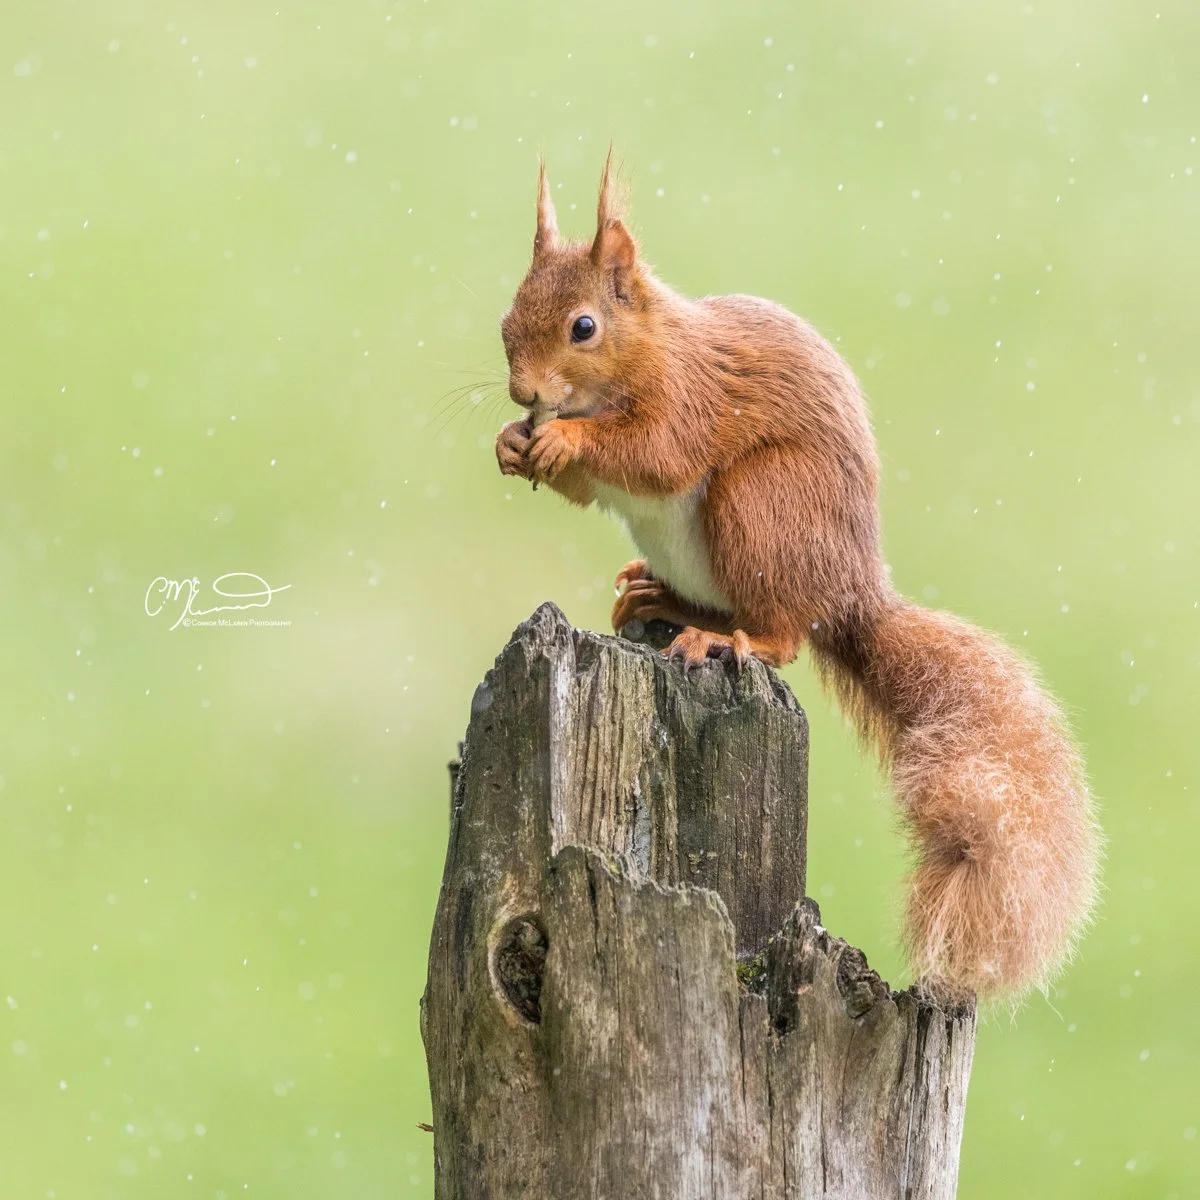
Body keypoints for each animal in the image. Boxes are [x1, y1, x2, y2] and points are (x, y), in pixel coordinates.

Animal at [493, 154, 1100, 1004]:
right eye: (508, 315)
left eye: (584, 327)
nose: (525, 394)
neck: (650, 348)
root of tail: (848, 597)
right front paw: (512, 442)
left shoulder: (688, 399)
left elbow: (654, 452)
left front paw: (564, 441)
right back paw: (660, 595)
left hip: (761, 508)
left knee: (781, 637)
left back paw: (719, 641)